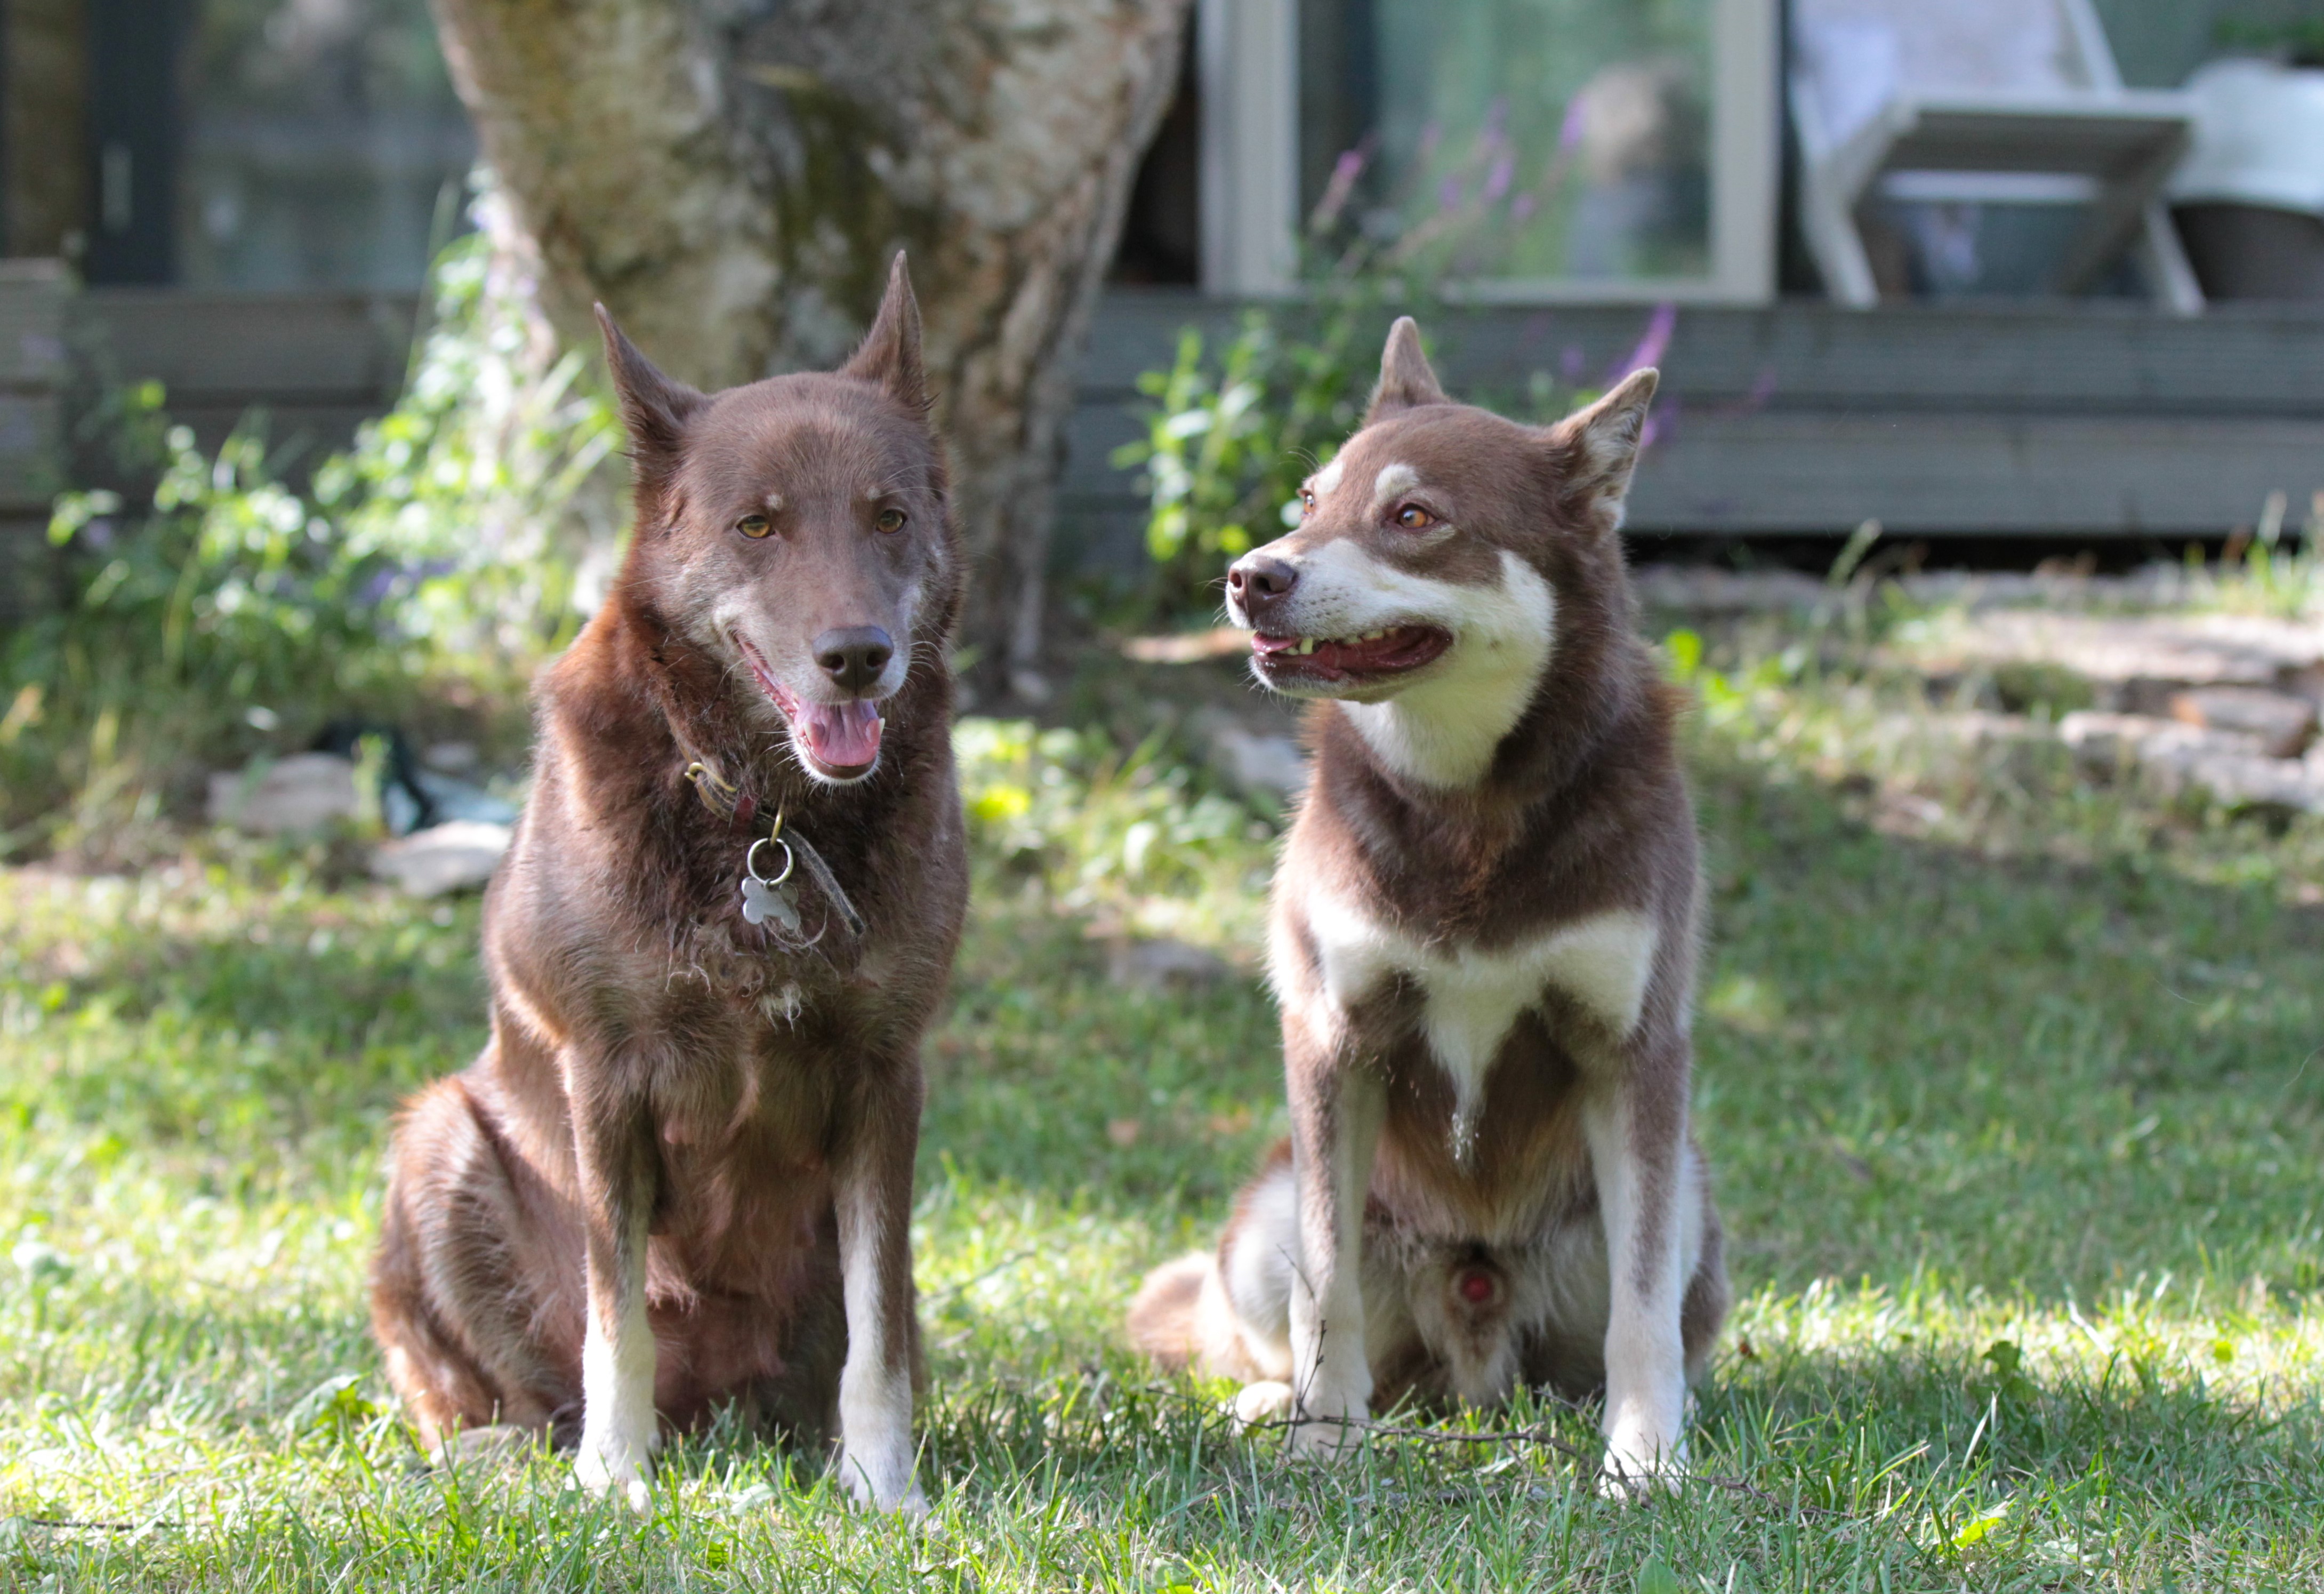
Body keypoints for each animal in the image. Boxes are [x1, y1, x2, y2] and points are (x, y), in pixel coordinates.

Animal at [369, 255, 962, 1515]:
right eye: (757, 524)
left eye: (888, 516)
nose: (858, 657)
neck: (764, 819)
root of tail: (717, 1415)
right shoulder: (608, 1076)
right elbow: (618, 1316)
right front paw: (613, 1475)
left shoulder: (886, 1074)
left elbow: (878, 1330)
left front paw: (883, 1487)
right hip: (438, 1137)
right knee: (483, 1388)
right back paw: (510, 1450)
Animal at [1124, 318, 1729, 1496]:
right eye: (1309, 498)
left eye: (1412, 517)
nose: (1250, 575)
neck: (1467, 802)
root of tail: (1472, 1325)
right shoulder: (1332, 1039)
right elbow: (1325, 1288)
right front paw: (1320, 1440)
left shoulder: (1633, 1051)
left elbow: (1643, 1311)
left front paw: (1644, 1458)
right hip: (1263, 1214)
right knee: (1272, 1328)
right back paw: (1272, 1406)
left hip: (1686, 1196)